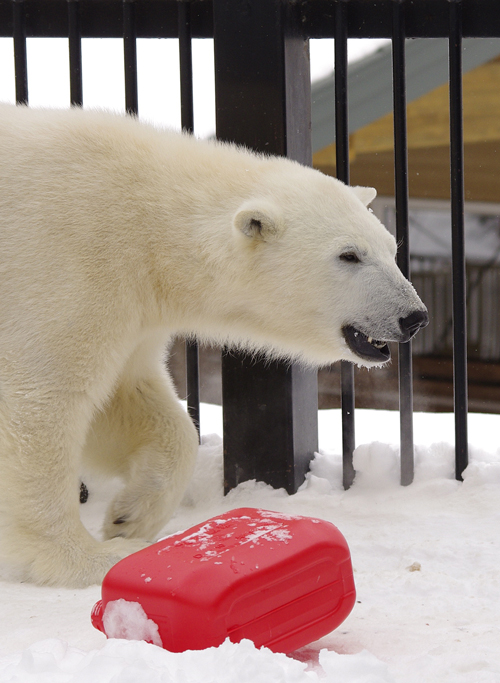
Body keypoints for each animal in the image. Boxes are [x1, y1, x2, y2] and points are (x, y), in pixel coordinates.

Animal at [0, 105, 428, 588]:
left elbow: (132, 400)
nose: (413, 317)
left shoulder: (135, 309)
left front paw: (130, 517)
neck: (145, 219)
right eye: (349, 255)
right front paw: (88, 558)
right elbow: (45, 401)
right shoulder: (64, 265)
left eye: (391, 248)